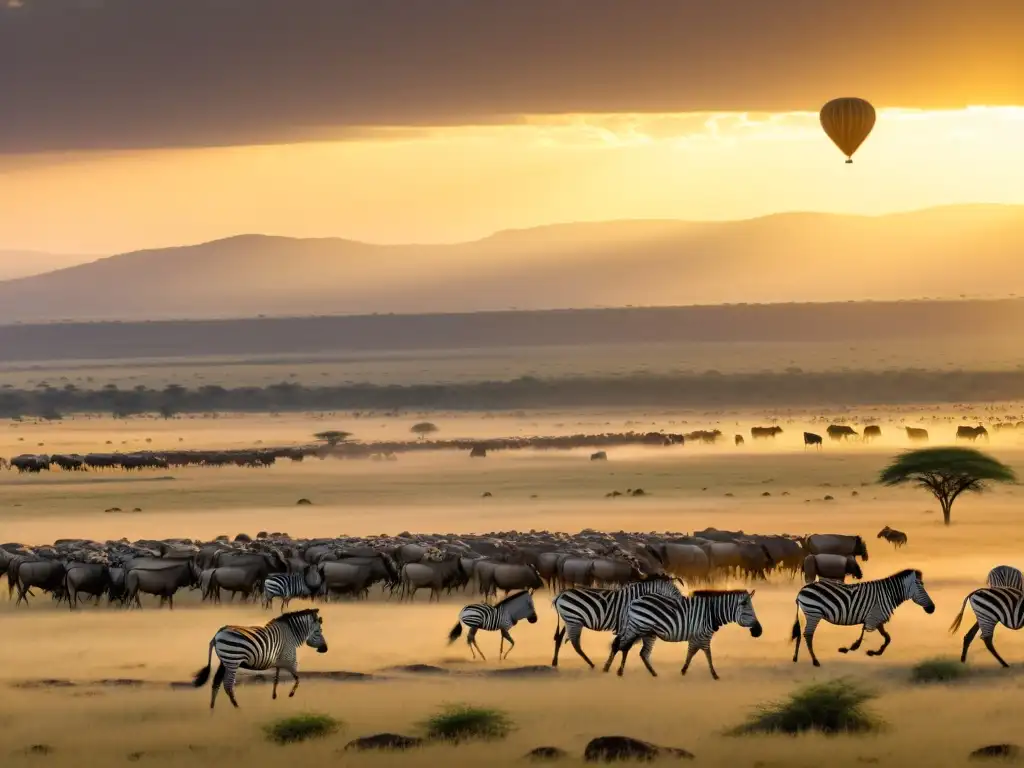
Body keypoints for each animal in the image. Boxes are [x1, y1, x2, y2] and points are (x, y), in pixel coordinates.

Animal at [188, 610, 323, 712]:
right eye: (318, 632)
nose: (325, 649)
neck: (291, 634)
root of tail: (216, 635)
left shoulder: (280, 660)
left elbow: (276, 678)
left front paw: (274, 696)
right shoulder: (290, 659)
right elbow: (297, 678)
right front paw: (291, 694)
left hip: (224, 662)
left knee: (216, 683)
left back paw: (212, 708)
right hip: (232, 660)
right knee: (228, 685)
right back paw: (237, 708)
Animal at [548, 573, 684, 671]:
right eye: (675, 591)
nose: (682, 602)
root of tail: (561, 594)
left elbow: (620, 645)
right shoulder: (626, 624)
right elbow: (620, 645)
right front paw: (609, 667)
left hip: (569, 620)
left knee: (559, 638)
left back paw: (555, 662)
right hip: (574, 620)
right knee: (575, 644)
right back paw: (591, 664)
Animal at [598, 589, 761, 679]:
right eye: (749, 613)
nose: (759, 632)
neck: (711, 613)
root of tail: (634, 601)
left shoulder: (697, 637)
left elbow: (692, 653)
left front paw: (683, 670)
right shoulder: (702, 636)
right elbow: (707, 655)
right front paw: (714, 675)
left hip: (646, 632)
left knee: (639, 651)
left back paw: (652, 673)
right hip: (637, 627)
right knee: (621, 645)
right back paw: (611, 669)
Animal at [790, 565, 937, 667]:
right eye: (921, 587)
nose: (932, 609)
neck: (888, 594)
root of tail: (801, 591)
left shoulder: (877, 619)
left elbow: (887, 638)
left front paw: (873, 652)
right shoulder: (873, 616)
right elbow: (865, 637)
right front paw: (849, 648)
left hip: (806, 614)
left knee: (800, 634)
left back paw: (795, 658)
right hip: (814, 613)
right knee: (808, 635)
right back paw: (815, 661)